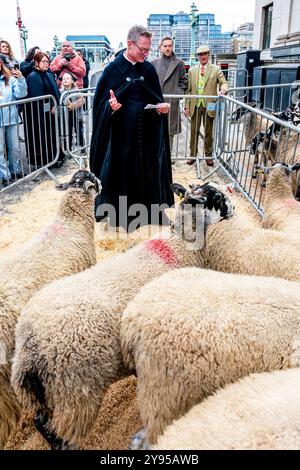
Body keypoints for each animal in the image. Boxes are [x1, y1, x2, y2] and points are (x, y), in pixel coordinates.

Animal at [8, 180, 234, 448]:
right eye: (217, 197)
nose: (234, 208)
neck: (178, 245)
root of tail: (28, 347)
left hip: (47, 393)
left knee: (40, 421)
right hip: (74, 395)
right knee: (60, 432)